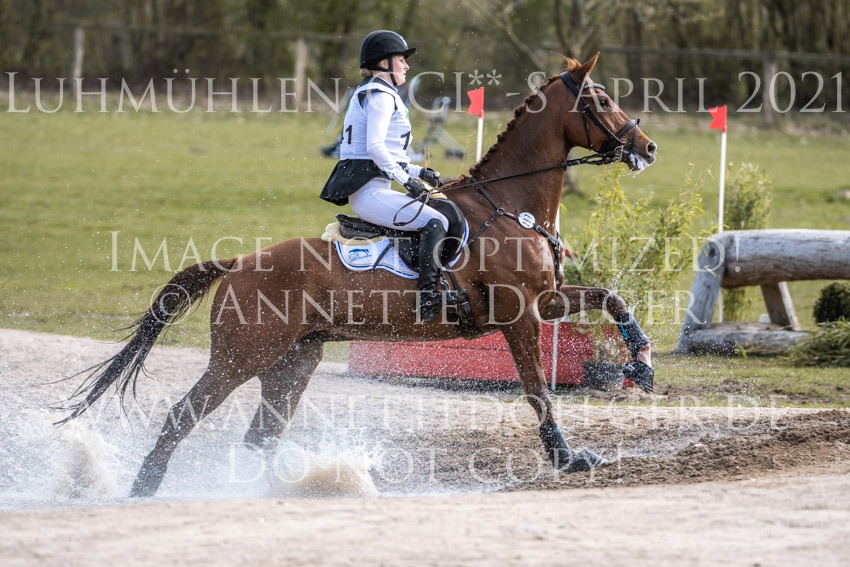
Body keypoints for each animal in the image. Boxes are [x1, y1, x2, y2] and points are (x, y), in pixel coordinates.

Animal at [59, 54, 657, 497]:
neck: (513, 206)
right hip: (241, 357)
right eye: (602, 100)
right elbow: (537, 391)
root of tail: (238, 264)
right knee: (184, 414)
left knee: (260, 437)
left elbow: (611, 297)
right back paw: (144, 489)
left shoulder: (545, 302)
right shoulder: (519, 316)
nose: (647, 147)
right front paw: (567, 457)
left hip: (292, 362)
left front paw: (642, 364)